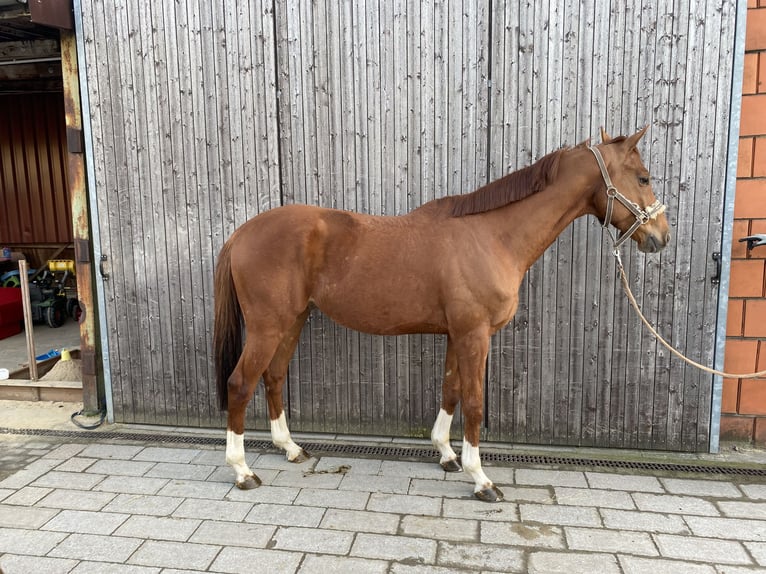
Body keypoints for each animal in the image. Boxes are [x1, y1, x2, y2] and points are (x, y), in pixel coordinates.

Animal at [213, 127, 668, 504]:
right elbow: (475, 402)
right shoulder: (475, 334)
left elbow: (450, 389)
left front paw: (446, 454)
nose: (661, 236)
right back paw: (242, 471)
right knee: (240, 384)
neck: (493, 236)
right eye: (644, 177)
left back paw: (290, 448)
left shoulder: (456, 334)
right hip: (268, 326)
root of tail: (242, 233)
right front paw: (480, 479)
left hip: (293, 320)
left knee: (273, 378)